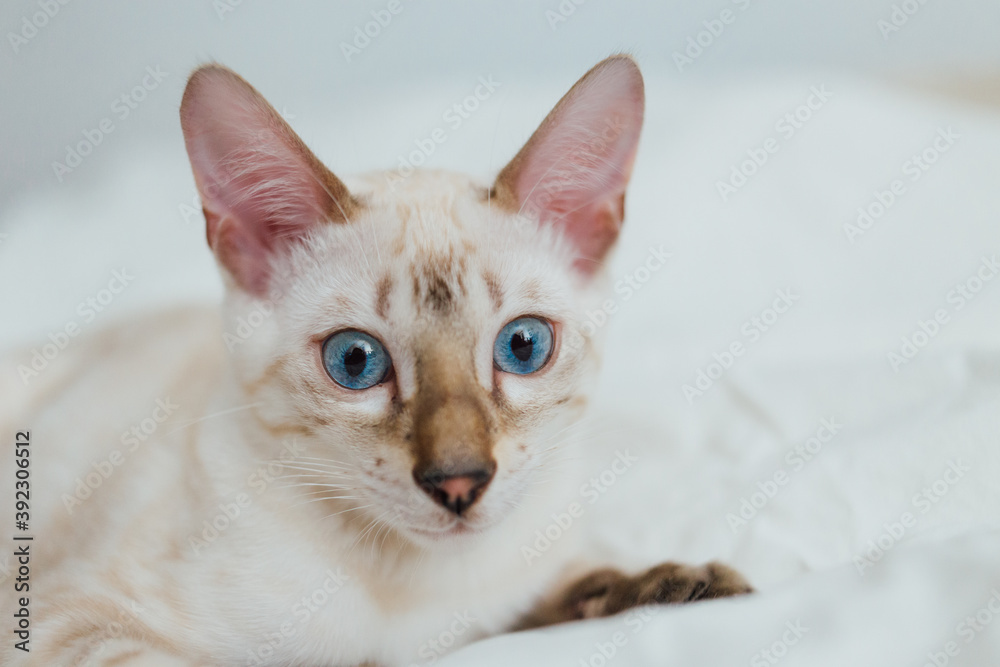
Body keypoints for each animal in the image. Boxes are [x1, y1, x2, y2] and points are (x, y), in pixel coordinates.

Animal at [1, 54, 752, 664]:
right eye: (356, 361)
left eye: (523, 346)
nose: (459, 482)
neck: (416, 601)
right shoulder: (72, 623)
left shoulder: (511, 596)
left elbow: (579, 584)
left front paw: (685, 586)